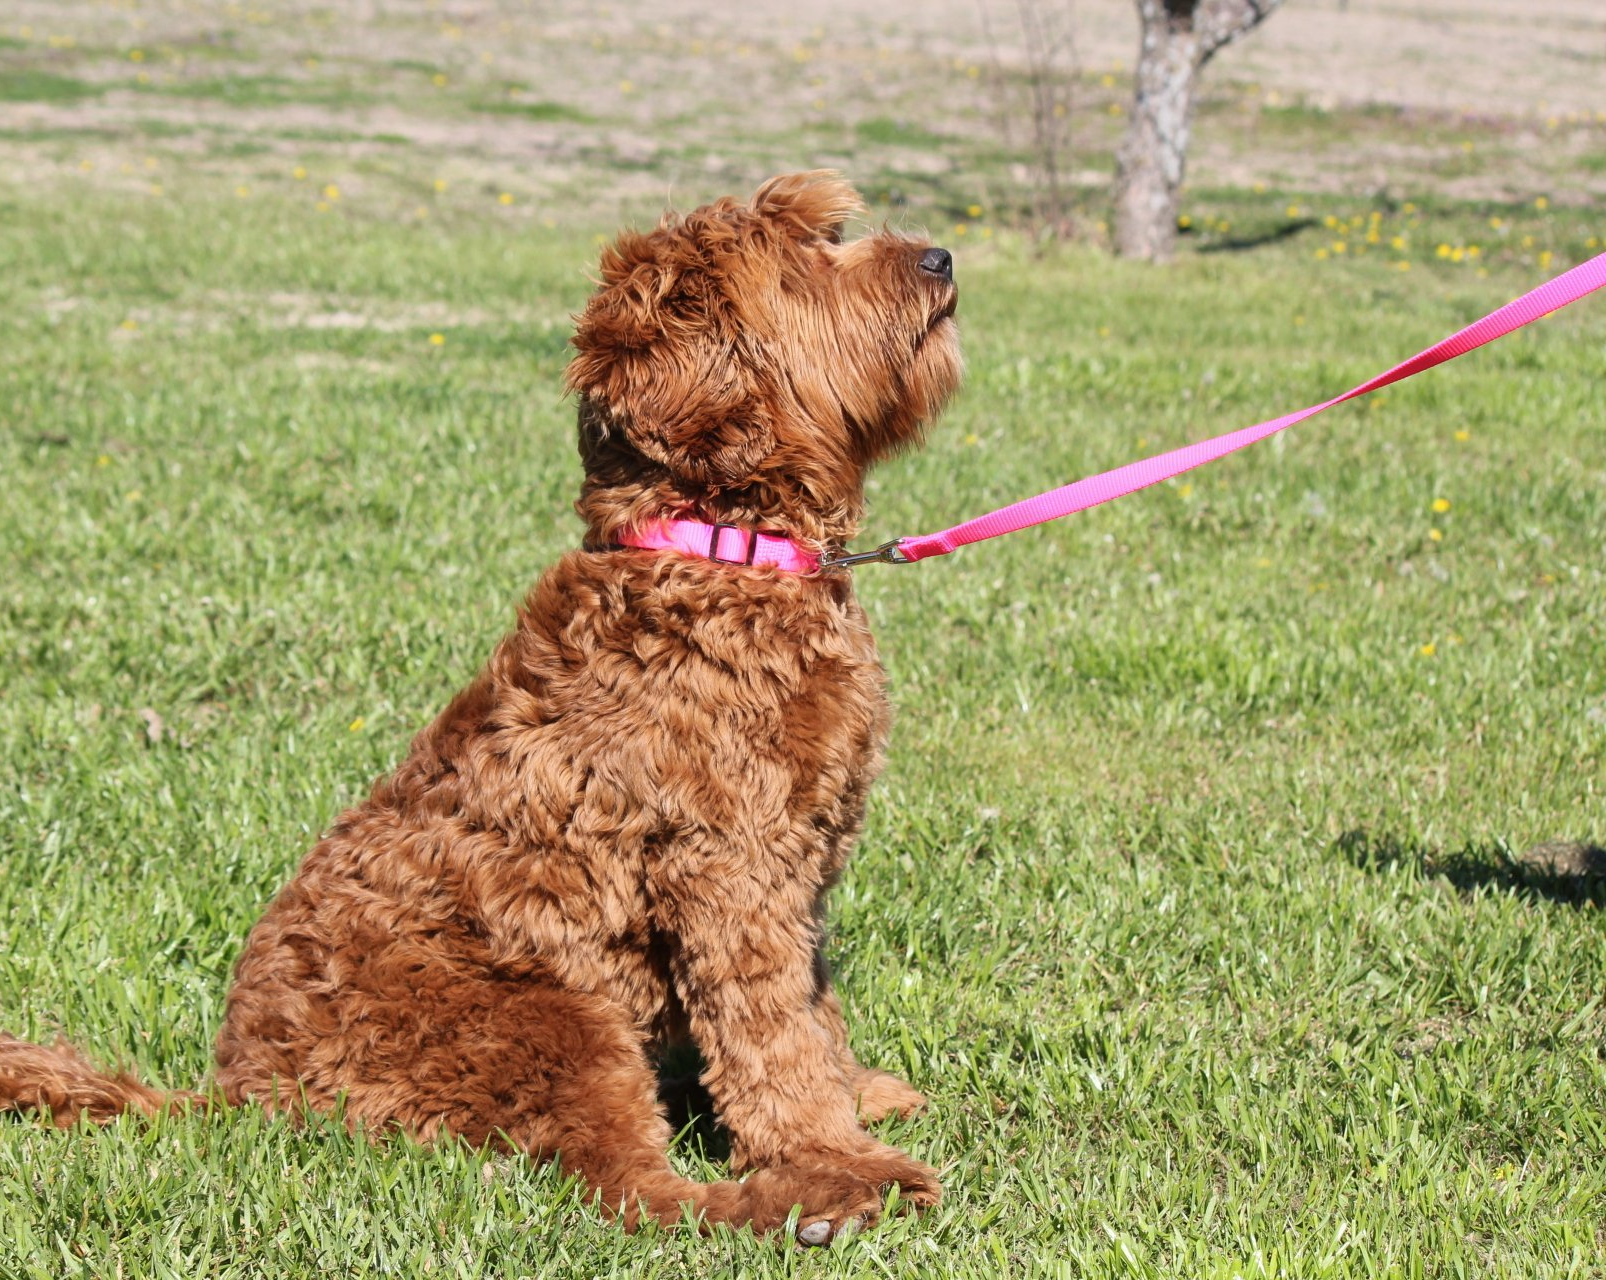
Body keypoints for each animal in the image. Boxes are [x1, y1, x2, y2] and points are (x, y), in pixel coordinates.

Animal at [0, 167, 957, 1239]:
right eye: (799, 266)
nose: (940, 257)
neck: (717, 550)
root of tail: (242, 1091)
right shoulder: (730, 870)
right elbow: (773, 1035)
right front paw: (835, 1149)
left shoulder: (800, 872)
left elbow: (813, 1010)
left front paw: (856, 1097)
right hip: (549, 1016)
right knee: (636, 1191)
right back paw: (824, 1199)